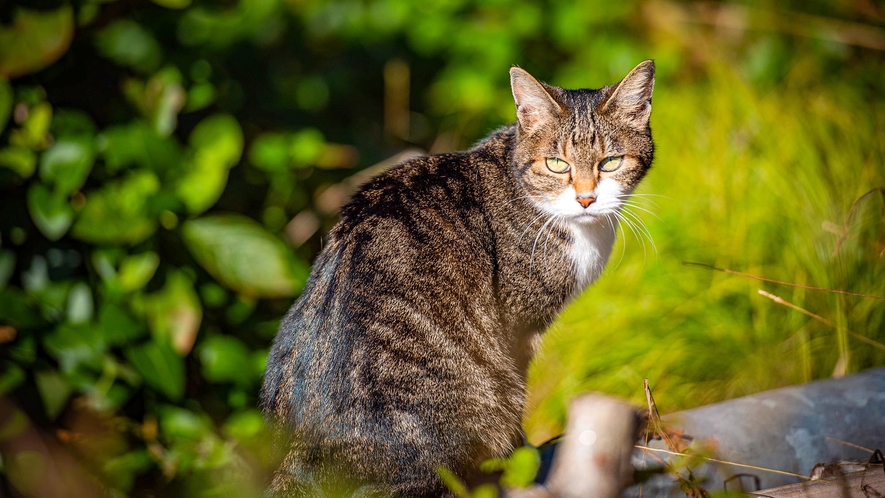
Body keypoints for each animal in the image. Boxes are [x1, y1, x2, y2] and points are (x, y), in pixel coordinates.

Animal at [258, 61, 652, 498]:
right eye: (557, 164)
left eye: (611, 162)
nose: (586, 198)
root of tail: (299, 457)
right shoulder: (518, 324)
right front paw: (522, 458)